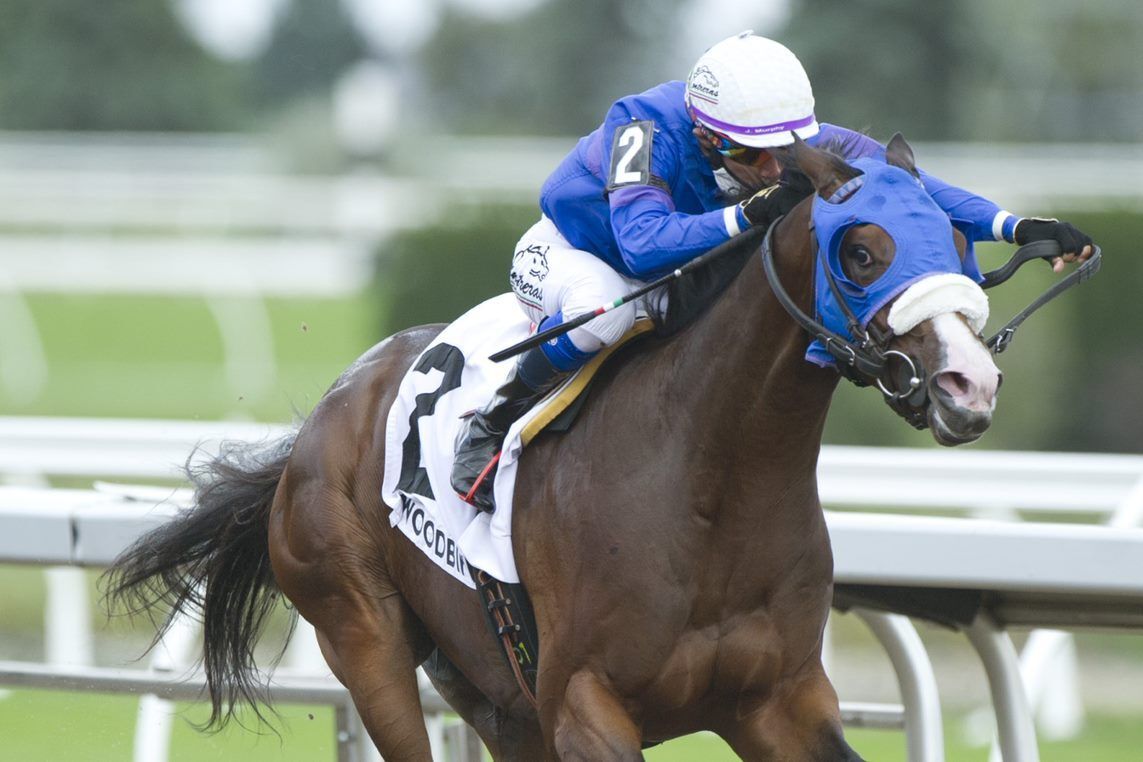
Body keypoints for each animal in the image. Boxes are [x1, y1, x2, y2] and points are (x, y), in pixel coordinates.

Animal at [107, 138, 1001, 762]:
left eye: (955, 240)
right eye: (861, 251)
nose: (969, 383)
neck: (712, 482)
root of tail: (326, 414)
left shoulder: (780, 701)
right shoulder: (582, 704)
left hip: (493, 692)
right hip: (364, 636)